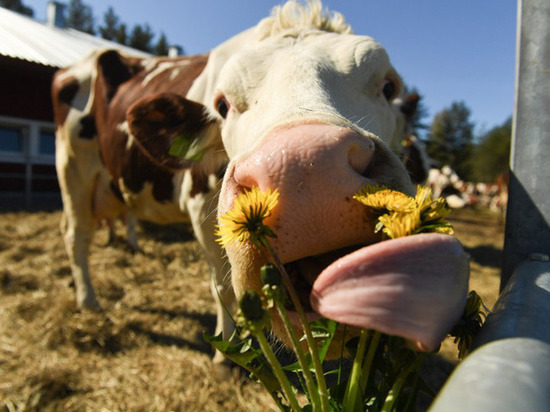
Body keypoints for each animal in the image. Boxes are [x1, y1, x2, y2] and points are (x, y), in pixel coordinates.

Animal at [52, 0, 470, 360]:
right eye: (222, 105)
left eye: (388, 87)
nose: (306, 168)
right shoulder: (200, 207)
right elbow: (223, 288)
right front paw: (228, 356)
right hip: (72, 170)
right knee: (76, 236)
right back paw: (88, 300)